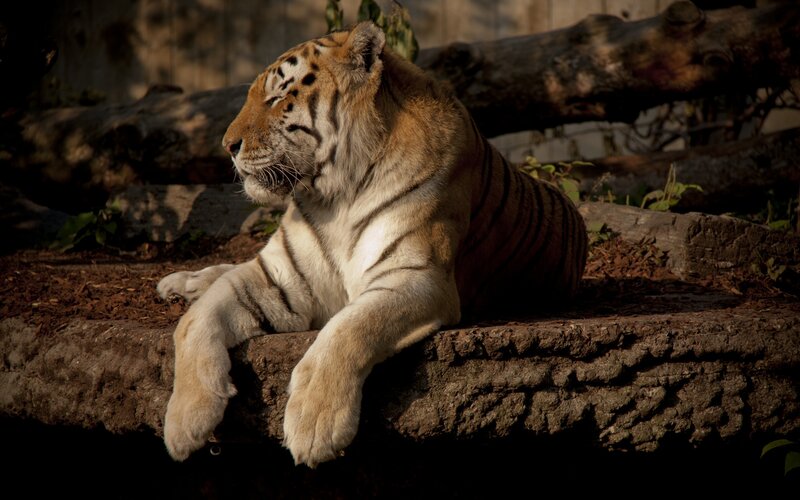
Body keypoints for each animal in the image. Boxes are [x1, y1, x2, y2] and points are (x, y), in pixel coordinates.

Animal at [157, 21, 588, 468]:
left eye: (277, 97)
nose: (228, 146)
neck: (334, 197)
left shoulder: (417, 276)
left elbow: (348, 328)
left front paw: (314, 423)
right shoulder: (277, 277)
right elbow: (194, 323)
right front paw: (184, 422)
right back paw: (182, 283)